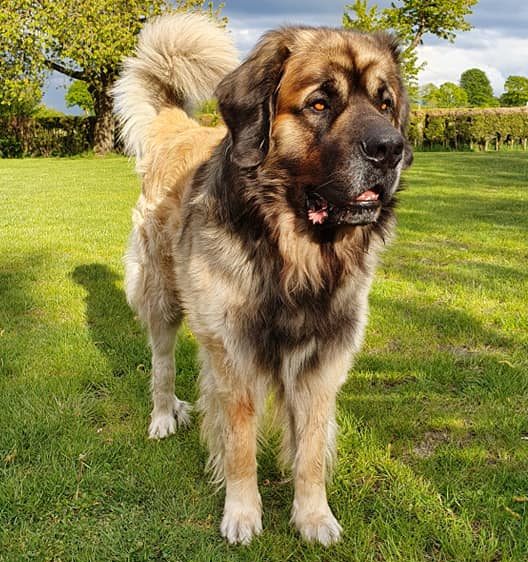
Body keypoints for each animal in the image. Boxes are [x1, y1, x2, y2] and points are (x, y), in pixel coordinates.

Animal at [114, 13, 412, 544]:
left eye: (385, 104)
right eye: (320, 103)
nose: (390, 149)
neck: (296, 255)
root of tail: (181, 129)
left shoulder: (323, 360)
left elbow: (310, 449)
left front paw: (314, 516)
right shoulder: (234, 357)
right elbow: (239, 445)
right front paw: (242, 513)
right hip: (160, 294)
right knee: (162, 362)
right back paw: (164, 416)